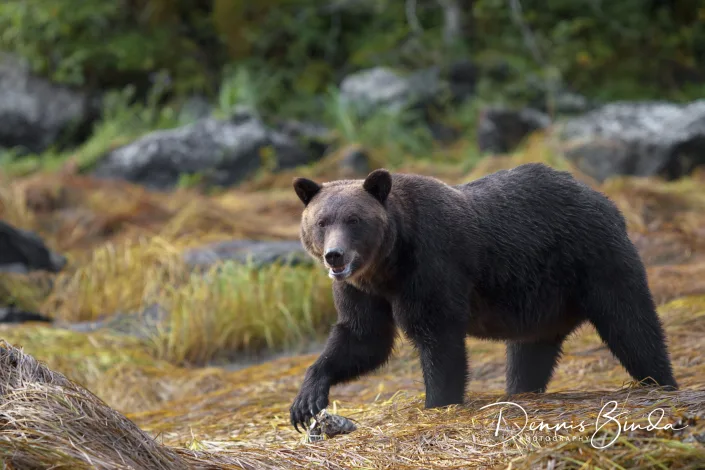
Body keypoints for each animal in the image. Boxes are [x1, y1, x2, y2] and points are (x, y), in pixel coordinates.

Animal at [289, 163, 678, 431]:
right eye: (322, 221)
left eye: (354, 219)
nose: (335, 256)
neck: (389, 265)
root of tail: (608, 201)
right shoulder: (360, 290)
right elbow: (363, 338)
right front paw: (306, 400)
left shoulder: (431, 265)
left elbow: (438, 340)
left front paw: (437, 403)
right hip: (542, 303)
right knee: (528, 356)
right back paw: (521, 393)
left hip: (595, 261)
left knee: (631, 326)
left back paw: (661, 383)